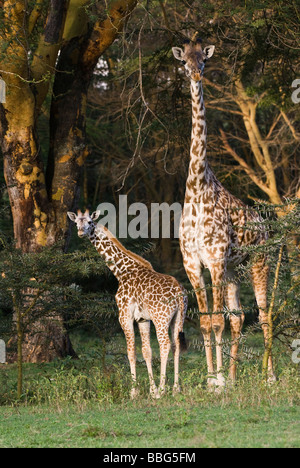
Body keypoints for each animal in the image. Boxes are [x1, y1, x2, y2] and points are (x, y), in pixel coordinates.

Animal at [68, 210, 188, 396]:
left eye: (89, 222)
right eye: (76, 223)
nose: (81, 233)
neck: (122, 271)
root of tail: (179, 293)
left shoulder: (124, 316)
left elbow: (130, 352)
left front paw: (135, 391)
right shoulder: (143, 319)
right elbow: (146, 351)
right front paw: (151, 390)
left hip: (161, 318)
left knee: (165, 344)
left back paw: (163, 389)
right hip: (179, 317)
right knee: (176, 345)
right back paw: (175, 389)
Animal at [172, 37, 276, 388]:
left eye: (203, 60)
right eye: (183, 62)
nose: (195, 75)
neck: (197, 186)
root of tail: (265, 226)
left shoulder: (215, 258)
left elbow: (215, 320)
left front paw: (216, 382)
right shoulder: (193, 262)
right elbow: (207, 322)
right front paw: (211, 378)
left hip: (259, 262)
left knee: (264, 312)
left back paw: (269, 377)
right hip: (233, 271)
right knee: (239, 316)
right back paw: (233, 376)